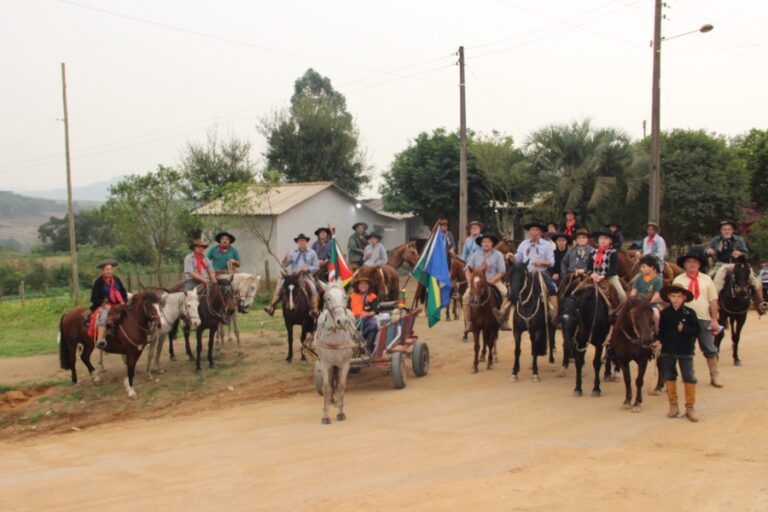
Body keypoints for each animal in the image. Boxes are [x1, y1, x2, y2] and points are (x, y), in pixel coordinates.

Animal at [314, 280, 358, 424]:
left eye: (345, 297)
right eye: (328, 298)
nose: (342, 321)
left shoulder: (345, 363)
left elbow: (341, 386)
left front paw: (340, 413)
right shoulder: (324, 363)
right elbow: (326, 388)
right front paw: (325, 416)